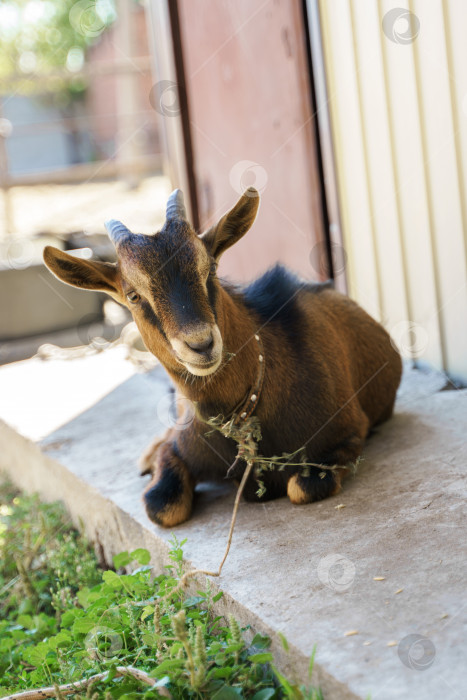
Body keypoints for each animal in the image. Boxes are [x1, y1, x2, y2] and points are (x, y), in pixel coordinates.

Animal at [43, 186, 402, 524]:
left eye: (210, 270)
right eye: (133, 295)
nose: (201, 345)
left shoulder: (348, 433)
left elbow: (304, 486)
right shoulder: (181, 447)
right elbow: (162, 506)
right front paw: (155, 459)